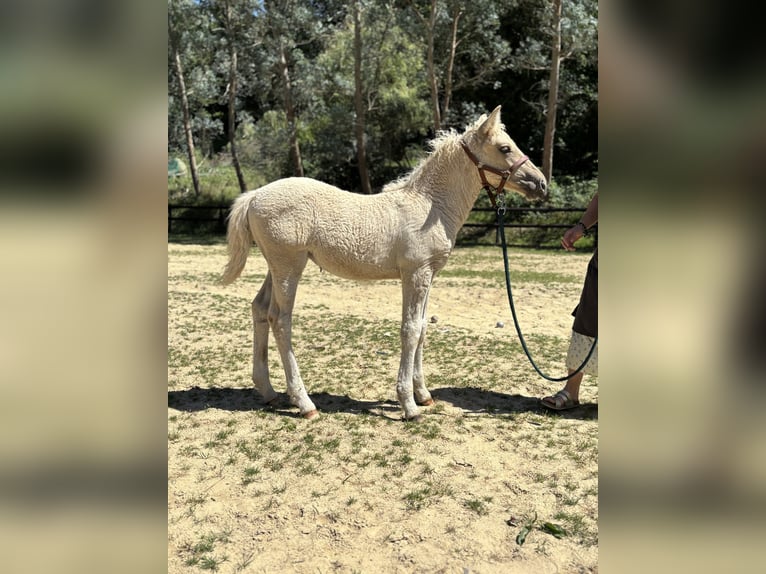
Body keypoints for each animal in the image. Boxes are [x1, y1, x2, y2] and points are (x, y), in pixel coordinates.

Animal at [220, 105, 547, 420]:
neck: (430, 206)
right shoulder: (415, 274)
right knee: (280, 319)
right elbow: (410, 330)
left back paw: (268, 391)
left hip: (274, 268)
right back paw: (304, 403)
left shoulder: (428, 276)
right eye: (505, 148)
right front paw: (409, 406)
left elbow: (422, 329)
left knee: (260, 309)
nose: (541, 184)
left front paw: (423, 395)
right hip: (289, 267)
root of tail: (253, 196)